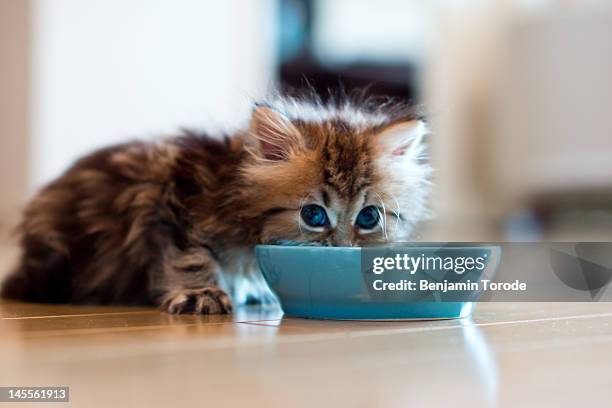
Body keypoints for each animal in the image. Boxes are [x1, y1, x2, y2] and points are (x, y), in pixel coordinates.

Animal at [0, 95, 430, 316]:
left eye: (369, 217)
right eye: (313, 215)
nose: (342, 250)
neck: (232, 188)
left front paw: (252, 287)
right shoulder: (172, 198)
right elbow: (191, 256)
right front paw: (200, 294)